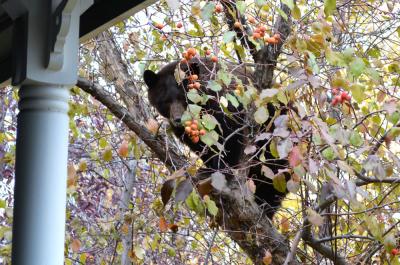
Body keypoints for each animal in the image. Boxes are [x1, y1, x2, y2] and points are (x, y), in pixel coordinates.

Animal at [143, 57, 288, 217]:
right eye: (165, 101)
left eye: (184, 97)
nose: (178, 119)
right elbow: (204, 146)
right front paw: (207, 168)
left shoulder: (227, 106)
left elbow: (230, 138)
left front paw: (221, 170)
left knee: (273, 181)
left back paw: (265, 207)